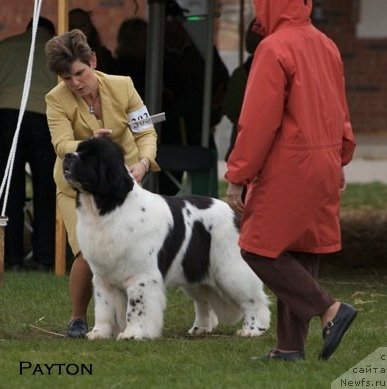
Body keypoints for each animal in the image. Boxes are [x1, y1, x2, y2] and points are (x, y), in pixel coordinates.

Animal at [63, 138, 270, 338]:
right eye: (78, 149)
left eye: (90, 155)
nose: (67, 156)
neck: (106, 208)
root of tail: (235, 214)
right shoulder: (102, 277)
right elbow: (103, 308)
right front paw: (98, 333)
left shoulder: (141, 276)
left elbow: (136, 307)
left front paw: (132, 333)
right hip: (194, 270)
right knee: (203, 300)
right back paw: (200, 328)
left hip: (231, 270)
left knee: (254, 300)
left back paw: (252, 329)